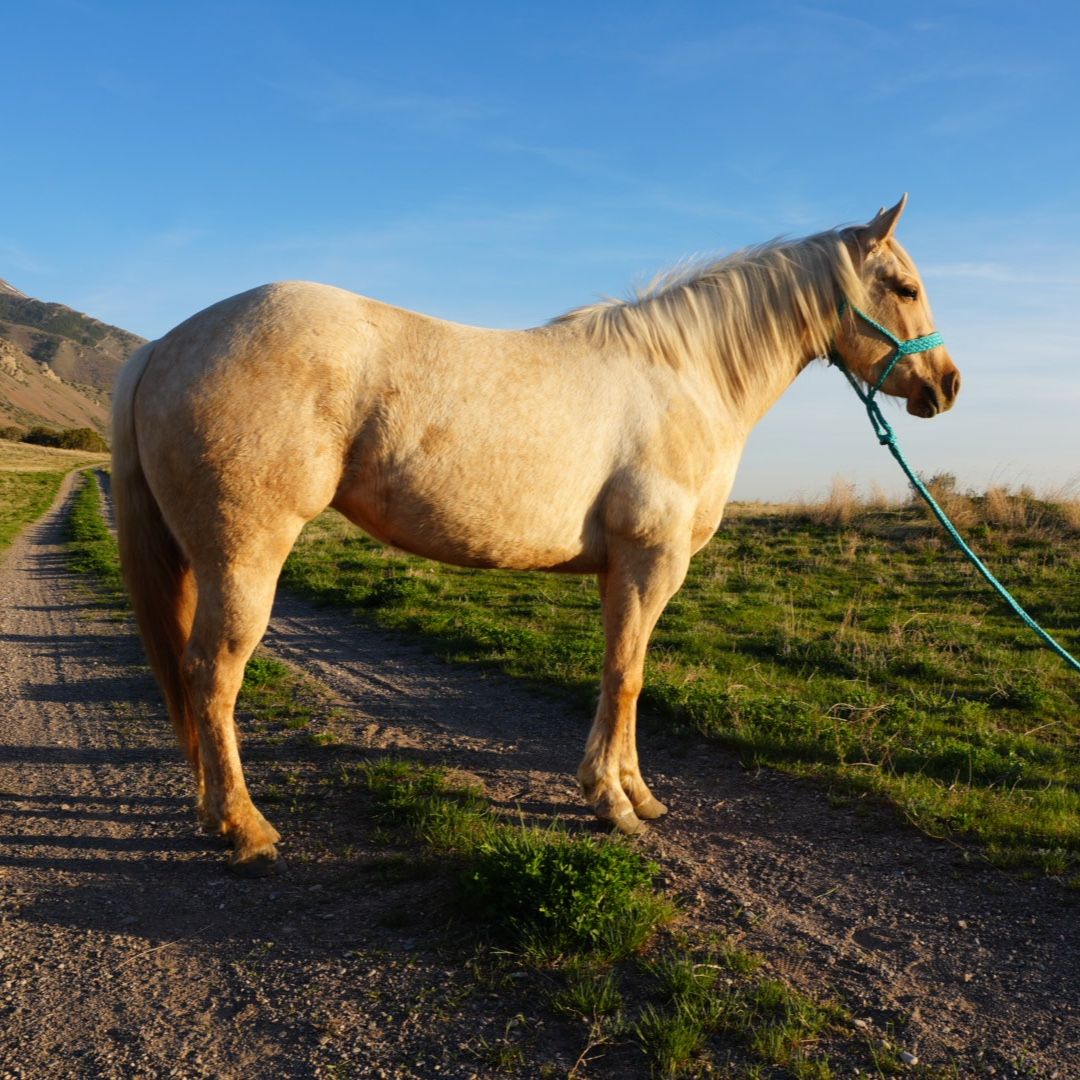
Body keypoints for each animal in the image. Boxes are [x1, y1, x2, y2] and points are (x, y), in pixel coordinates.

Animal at [111, 195, 960, 875]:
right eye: (906, 288)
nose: (946, 385)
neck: (684, 377)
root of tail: (162, 347)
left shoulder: (620, 571)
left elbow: (624, 674)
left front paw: (634, 793)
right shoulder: (651, 562)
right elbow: (626, 677)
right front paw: (612, 803)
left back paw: (214, 811)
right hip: (243, 558)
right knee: (212, 676)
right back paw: (245, 828)